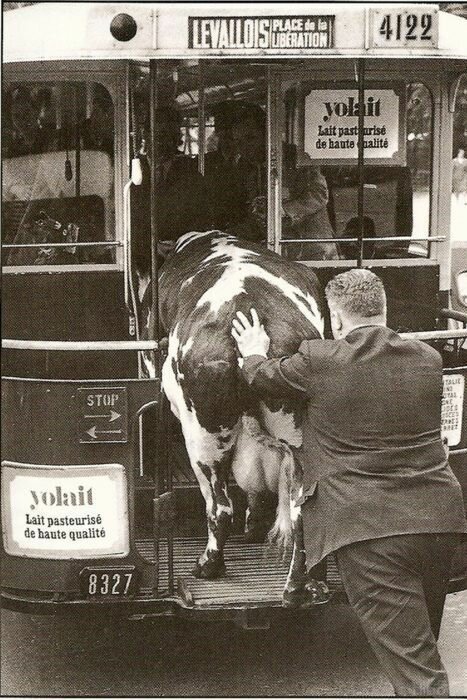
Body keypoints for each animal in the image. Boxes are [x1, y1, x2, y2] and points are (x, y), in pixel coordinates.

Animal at [143, 228, 326, 596]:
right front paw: (254, 526)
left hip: (203, 433)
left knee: (220, 505)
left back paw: (208, 566)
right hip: (298, 436)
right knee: (300, 508)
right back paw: (297, 587)